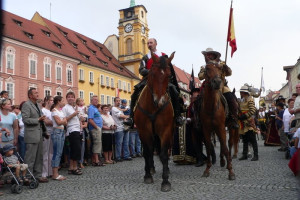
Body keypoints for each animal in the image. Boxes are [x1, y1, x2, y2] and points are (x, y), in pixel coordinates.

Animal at [134, 52, 175, 192]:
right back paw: (151, 169)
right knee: (150, 150)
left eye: (169, 75)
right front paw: (147, 176)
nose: (160, 101)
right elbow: (147, 152)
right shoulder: (143, 131)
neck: (153, 106)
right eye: (152, 74)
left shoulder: (166, 130)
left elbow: (163, 154)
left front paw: (166, 181)